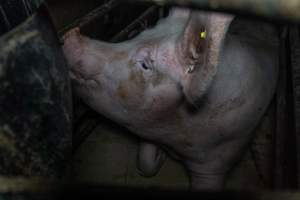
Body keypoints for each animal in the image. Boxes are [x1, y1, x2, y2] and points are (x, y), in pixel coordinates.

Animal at [62, 7, 278, 190]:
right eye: (140, 34)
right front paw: (161, 157)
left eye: (146, 65)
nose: (72, 34)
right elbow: (145, 163)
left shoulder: (219, 158)